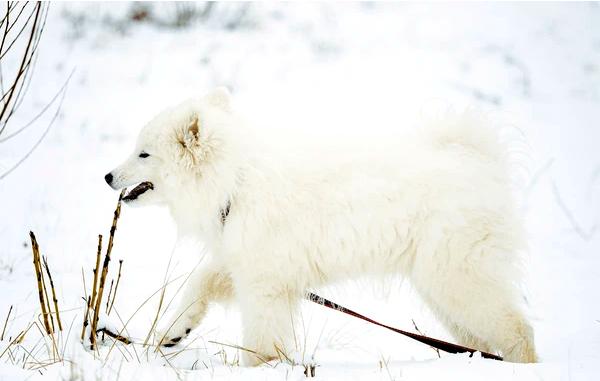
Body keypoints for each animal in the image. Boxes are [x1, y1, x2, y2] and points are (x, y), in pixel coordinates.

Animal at [105, 87, 536, 364]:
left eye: (144, 153)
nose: (108, 176)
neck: (235, 181)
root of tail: (482, 162)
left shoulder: (265, 283)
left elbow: (262, 338)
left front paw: (259, 367)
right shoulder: (249, 264)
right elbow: (200, 282)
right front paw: (174, 332)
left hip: (458, 276)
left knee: (518, 329)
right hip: (442, 288)